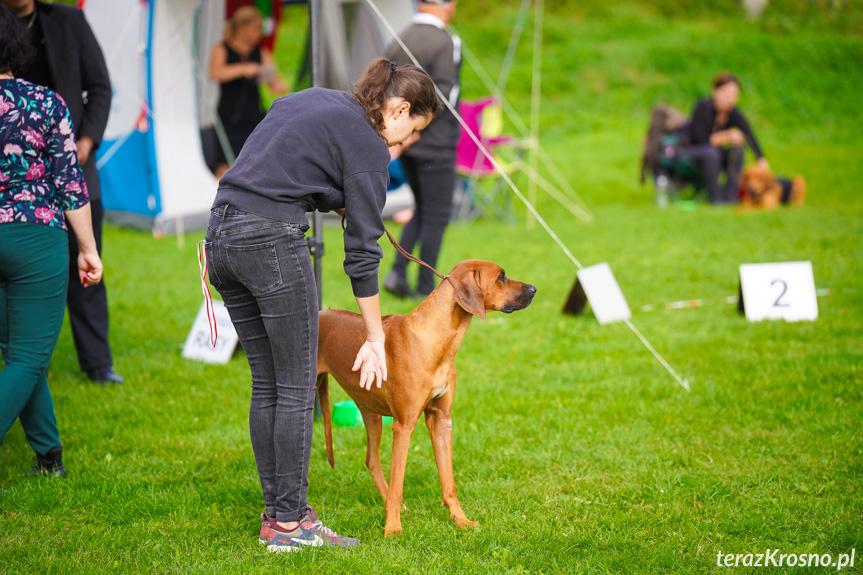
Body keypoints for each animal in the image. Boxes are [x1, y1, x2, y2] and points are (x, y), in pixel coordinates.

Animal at [314, 258, 536, 536]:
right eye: (501, 277)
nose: (534, 289)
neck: (435, 339)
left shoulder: (441, 420)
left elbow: (449, 482)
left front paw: (461, 520)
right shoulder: (404, 425)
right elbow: (398, 483)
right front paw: (392, 528)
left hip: (370, 409)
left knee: (372, 460)